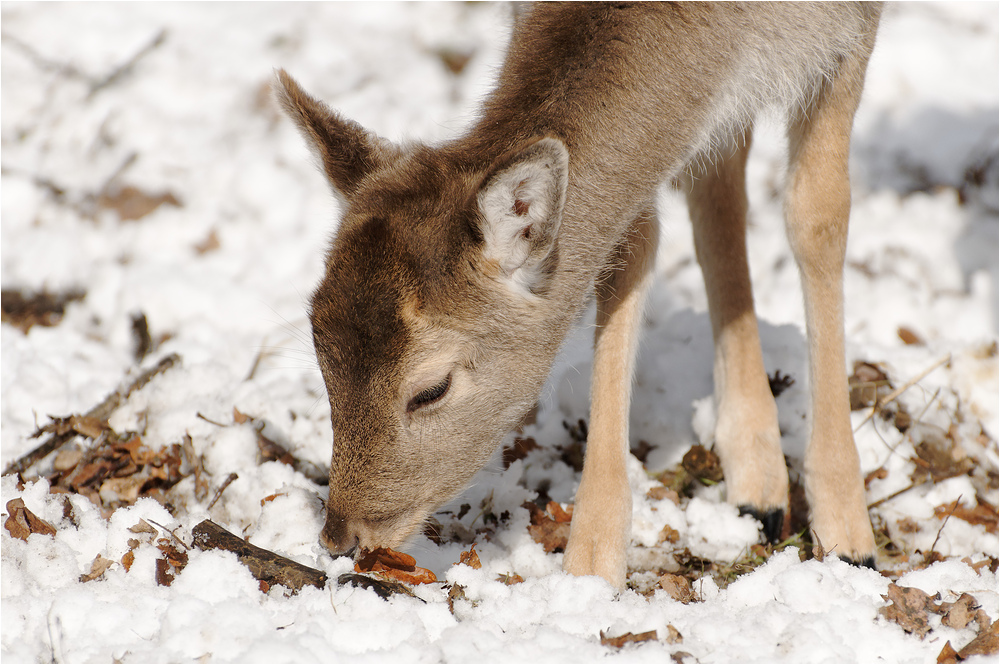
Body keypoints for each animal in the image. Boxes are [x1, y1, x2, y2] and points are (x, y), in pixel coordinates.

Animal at [276, 2, 884, 588]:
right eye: (321, 360)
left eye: (431, 389)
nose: (341, 537)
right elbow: (632, 242)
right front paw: (593, 565)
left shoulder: (854, 27)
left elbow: (818, 215)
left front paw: (847, 534)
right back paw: (756, 481)